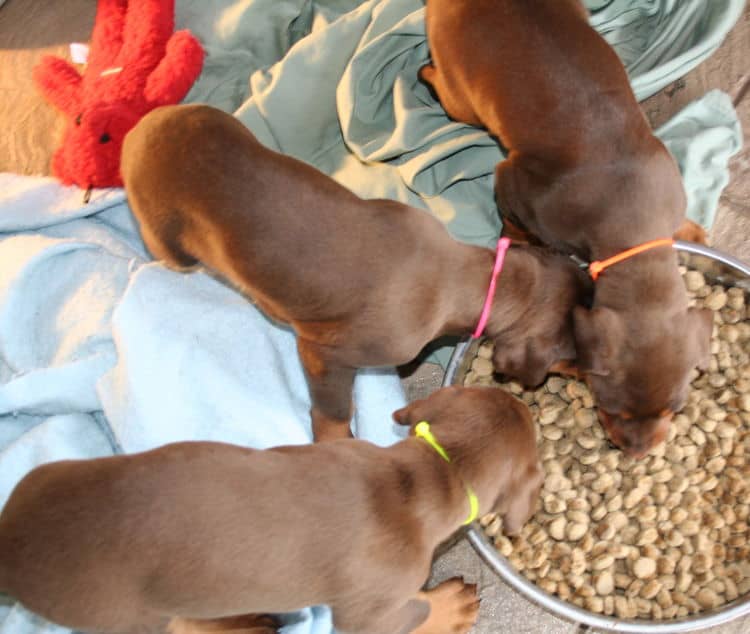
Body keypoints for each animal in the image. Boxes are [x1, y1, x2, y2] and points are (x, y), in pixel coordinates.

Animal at [0, 382, 544, 632]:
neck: (434, 470)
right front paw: (448, 607)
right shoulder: (369, 611)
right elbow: (413, 612)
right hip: (128, 613)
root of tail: (11, 545)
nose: (525, 397)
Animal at [123, 103, 592, 440]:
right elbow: (330, 411)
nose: (598, 383)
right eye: (576, 356)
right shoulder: (322, 354)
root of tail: (139, 128)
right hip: (166, 235)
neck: (468, 277)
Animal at [420, 0, 712, 454]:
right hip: (461, 92)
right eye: (613, 409)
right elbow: (516, 226)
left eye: (673, 409)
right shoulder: (512, 184)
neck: (631, 219)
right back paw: (425, 72)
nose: (638, 453)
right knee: (445, 89)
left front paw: (693, 231)